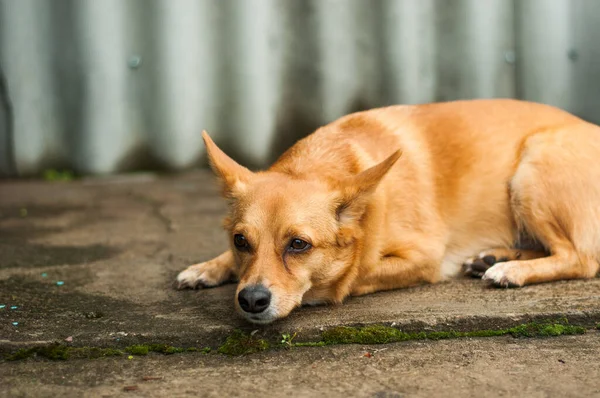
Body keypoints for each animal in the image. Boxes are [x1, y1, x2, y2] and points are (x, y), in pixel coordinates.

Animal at [177, 98, 600, 324]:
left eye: (299, 245)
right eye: (240, 241)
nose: (251, 300)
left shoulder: (424, 257)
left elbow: (355, 274)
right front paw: (209, 267)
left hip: (531, 170)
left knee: (580, 258)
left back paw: (510, 270)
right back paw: (495, 257)